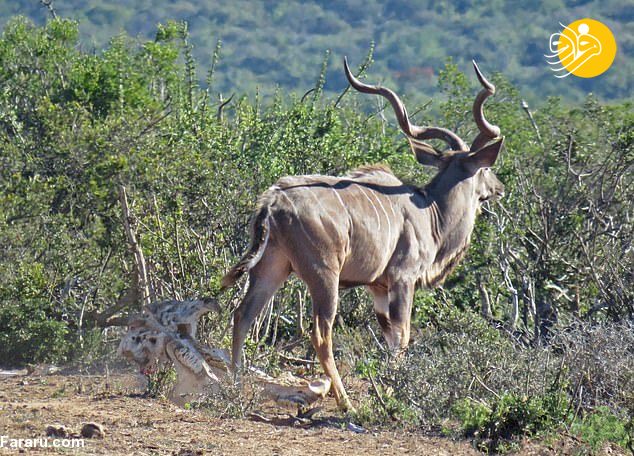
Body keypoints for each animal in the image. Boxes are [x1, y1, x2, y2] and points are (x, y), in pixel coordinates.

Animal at [222, 57, 504, 410]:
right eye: (486, 168)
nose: (499, 188)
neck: (430, 211)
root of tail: (272, 202)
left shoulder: (377, 287)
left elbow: (389, 336)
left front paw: (386, 388)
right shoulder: (402, 278)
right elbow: (402, 336)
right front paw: (395, 392)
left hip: (271, 268)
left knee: (242, 315)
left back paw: (233, 386)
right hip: (324, 276)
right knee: (321, 333)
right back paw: (345, 403)